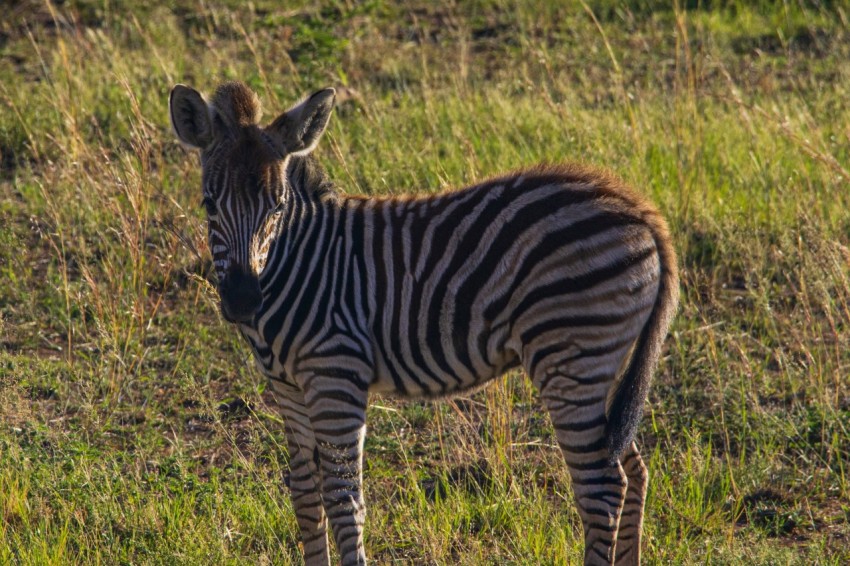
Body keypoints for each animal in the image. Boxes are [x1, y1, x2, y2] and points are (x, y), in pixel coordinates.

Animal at [169, 81, 679, 566]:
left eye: (276, 207)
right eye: (209, 204)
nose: (242, 301)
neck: (300, 263)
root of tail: (641, 209)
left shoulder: (336, 378)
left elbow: (343, 500)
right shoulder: (289, 389)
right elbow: (306, 498)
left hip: (571, 357)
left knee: (602, 490)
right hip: (599, 363)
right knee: (632, 471)